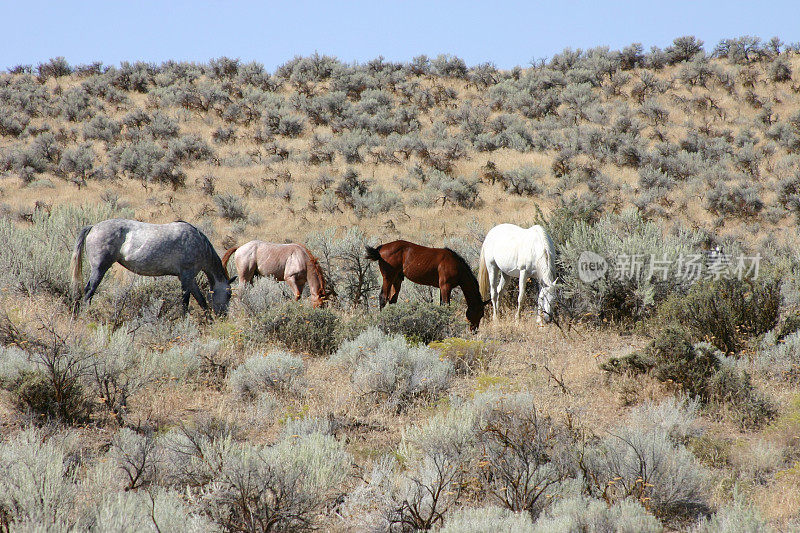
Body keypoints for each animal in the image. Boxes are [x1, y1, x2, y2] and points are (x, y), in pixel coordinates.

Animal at [69, 218, 234, 314]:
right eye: (229, 294)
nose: (223, 316)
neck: (198, 243)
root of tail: (93, 227)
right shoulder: (186, 277)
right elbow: (185, 301)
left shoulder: (190, 278)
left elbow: (201, 300)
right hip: (99, 269)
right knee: (89, 291)